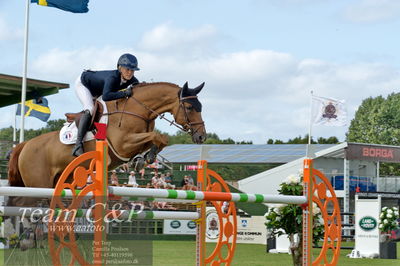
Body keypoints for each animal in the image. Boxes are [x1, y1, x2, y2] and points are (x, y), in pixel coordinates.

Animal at [8, 81, 208, 195]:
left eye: (200, 106)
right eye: (189, 107)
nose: (202, 136)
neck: (137, 109)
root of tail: (24, 145)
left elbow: (159, 139)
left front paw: (143, 159)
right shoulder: (122, 145)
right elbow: (158, 136)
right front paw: (147, 158)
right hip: (38, 183)